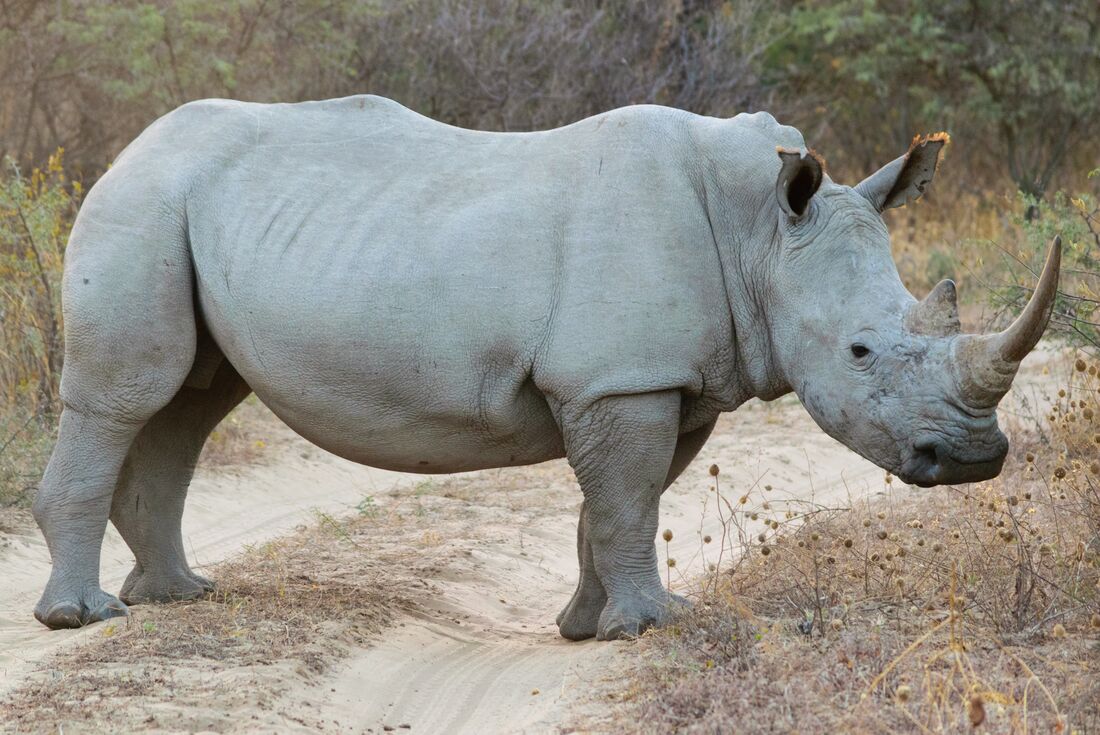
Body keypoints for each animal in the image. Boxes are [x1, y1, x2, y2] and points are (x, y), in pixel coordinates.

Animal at [32, 95, 1059, 639]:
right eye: (859, 351)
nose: (974, 459)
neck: (762, 230)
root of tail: (125, 149)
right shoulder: (620, 377)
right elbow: (628, 498)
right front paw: (650, 627)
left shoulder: (666, 378)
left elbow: (618, 503)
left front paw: (587, 625)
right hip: (140, 202)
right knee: (128, 396)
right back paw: (85, 618)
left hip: (185, 212)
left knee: (192, 401)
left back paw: (177, 596)